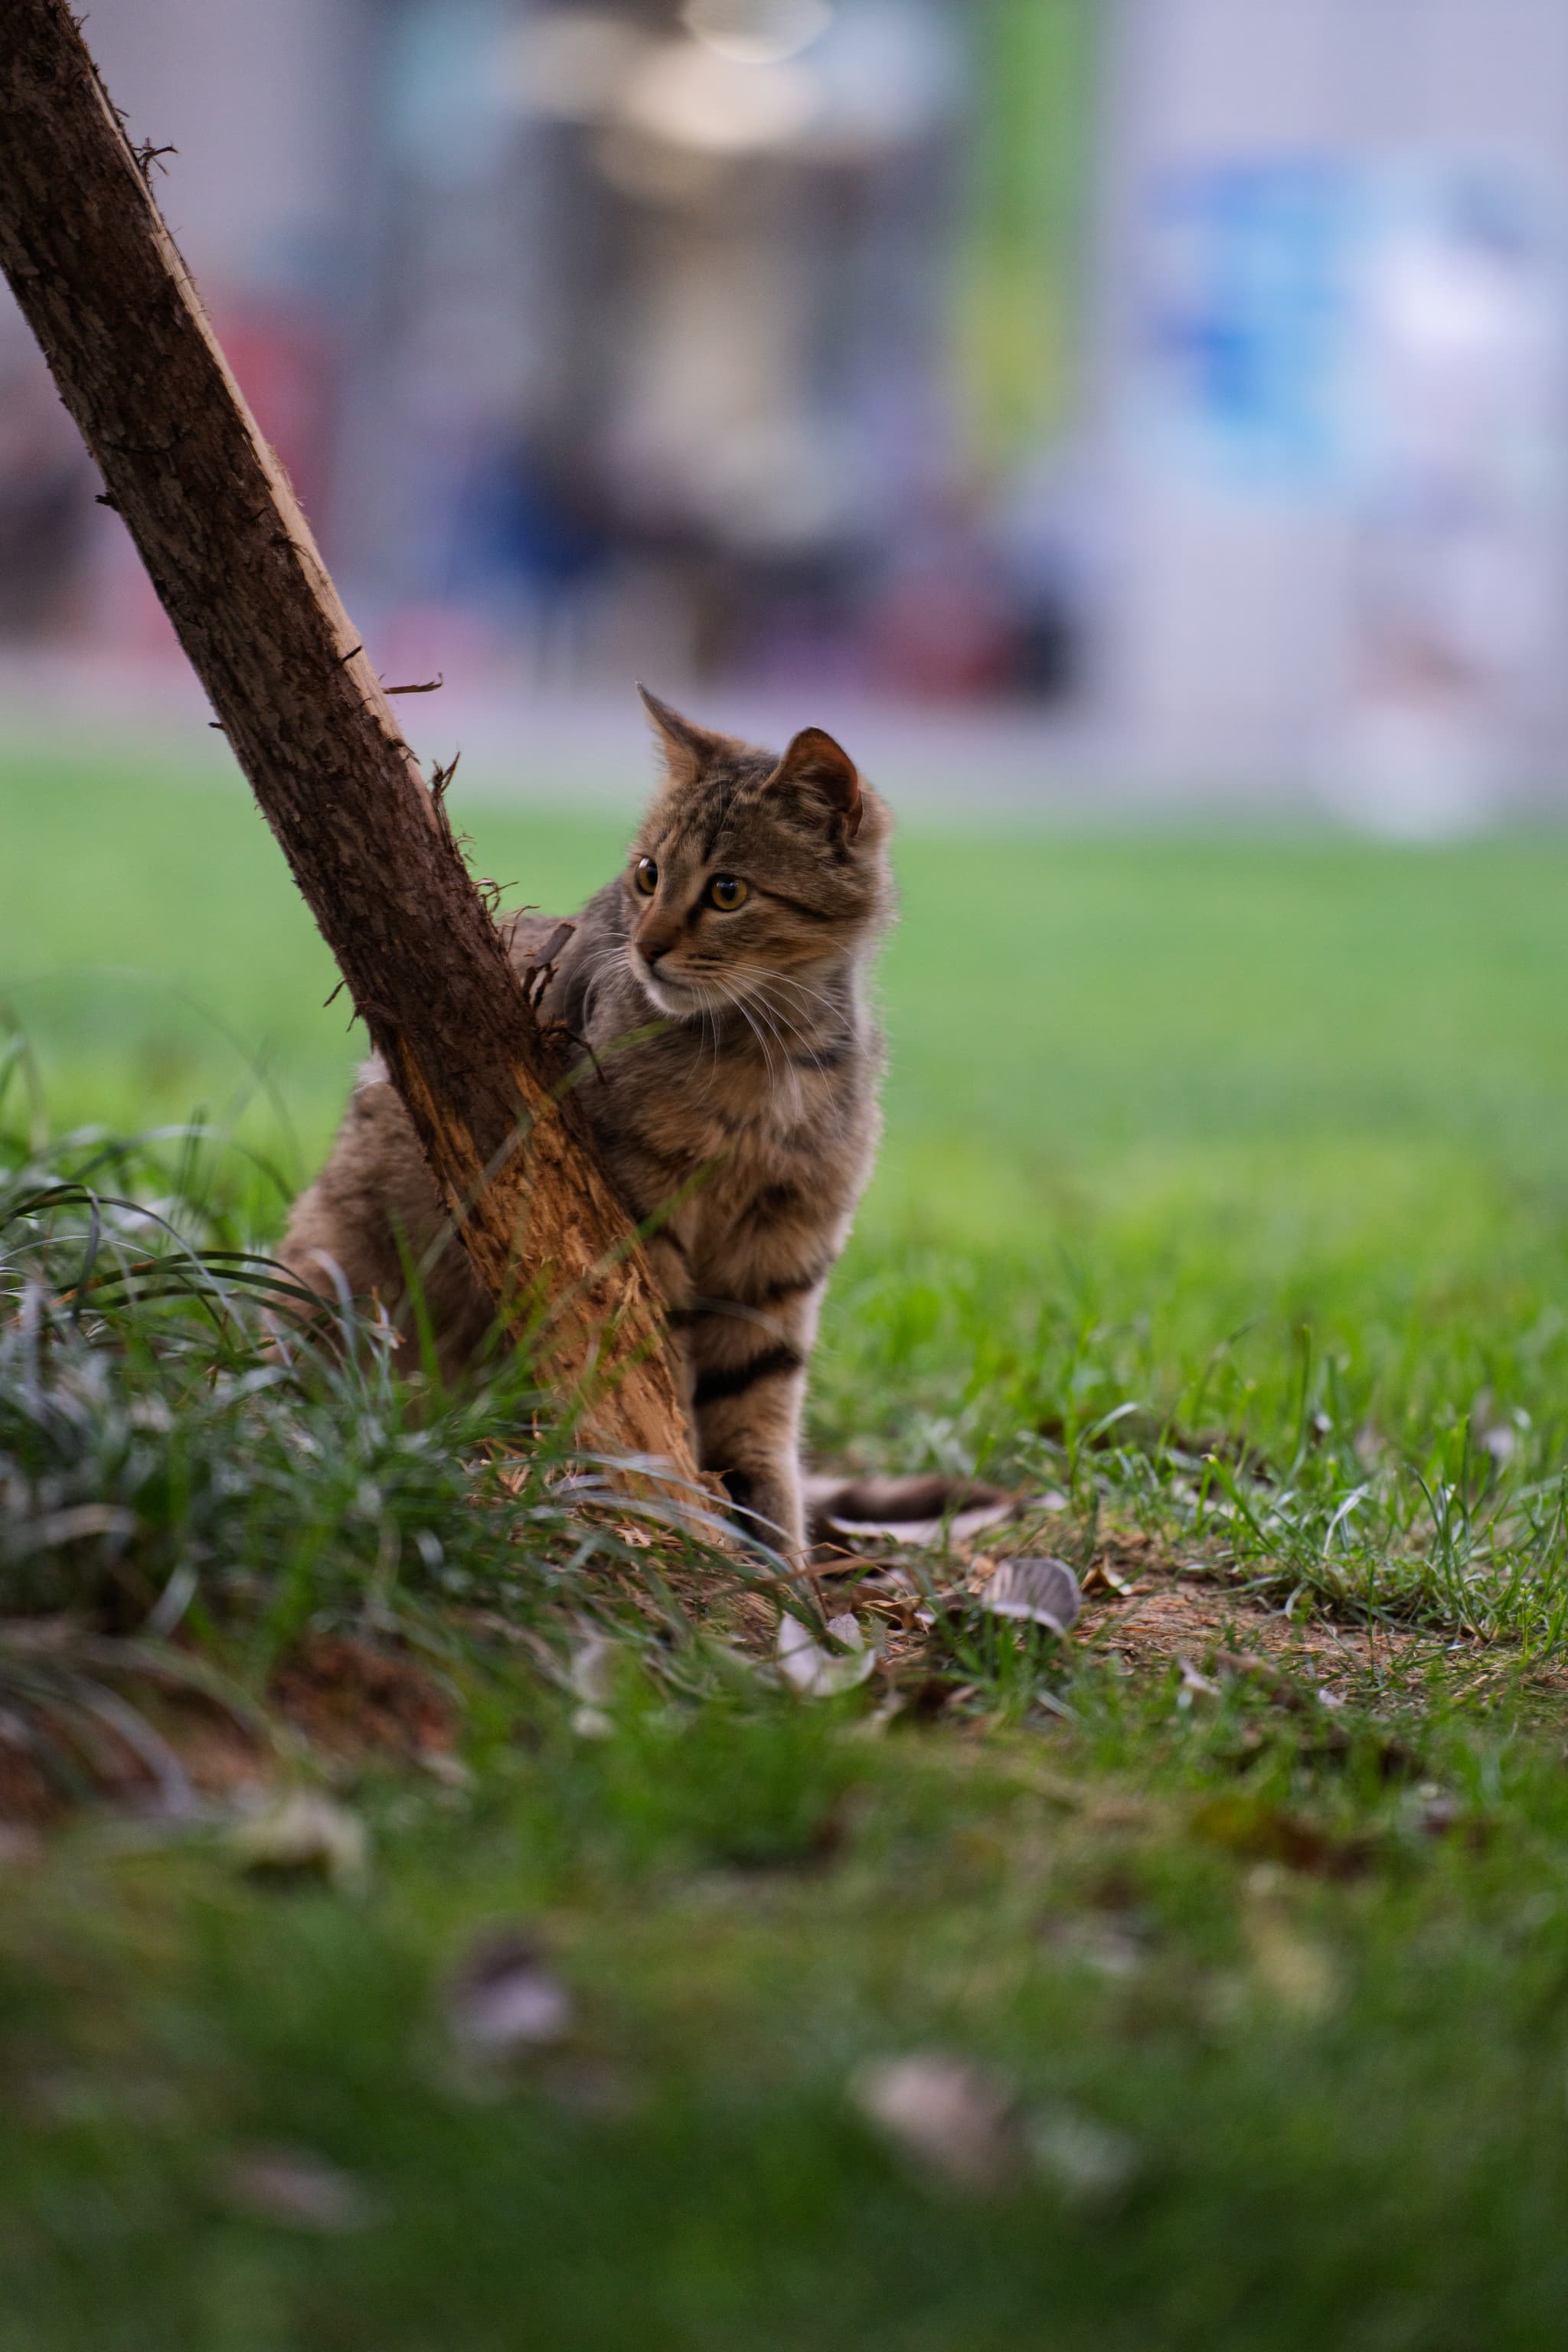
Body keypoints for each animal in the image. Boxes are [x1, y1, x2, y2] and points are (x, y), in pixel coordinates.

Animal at [278, 687, 893, 1552]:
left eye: (727, 891)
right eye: (647, 874)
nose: (646, 947)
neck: (770, 1058)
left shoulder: (785, 1250)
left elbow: (759, 1415)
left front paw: (777, 1557)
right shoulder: (646, 1215)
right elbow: (663, 1376)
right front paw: (691, 1508)